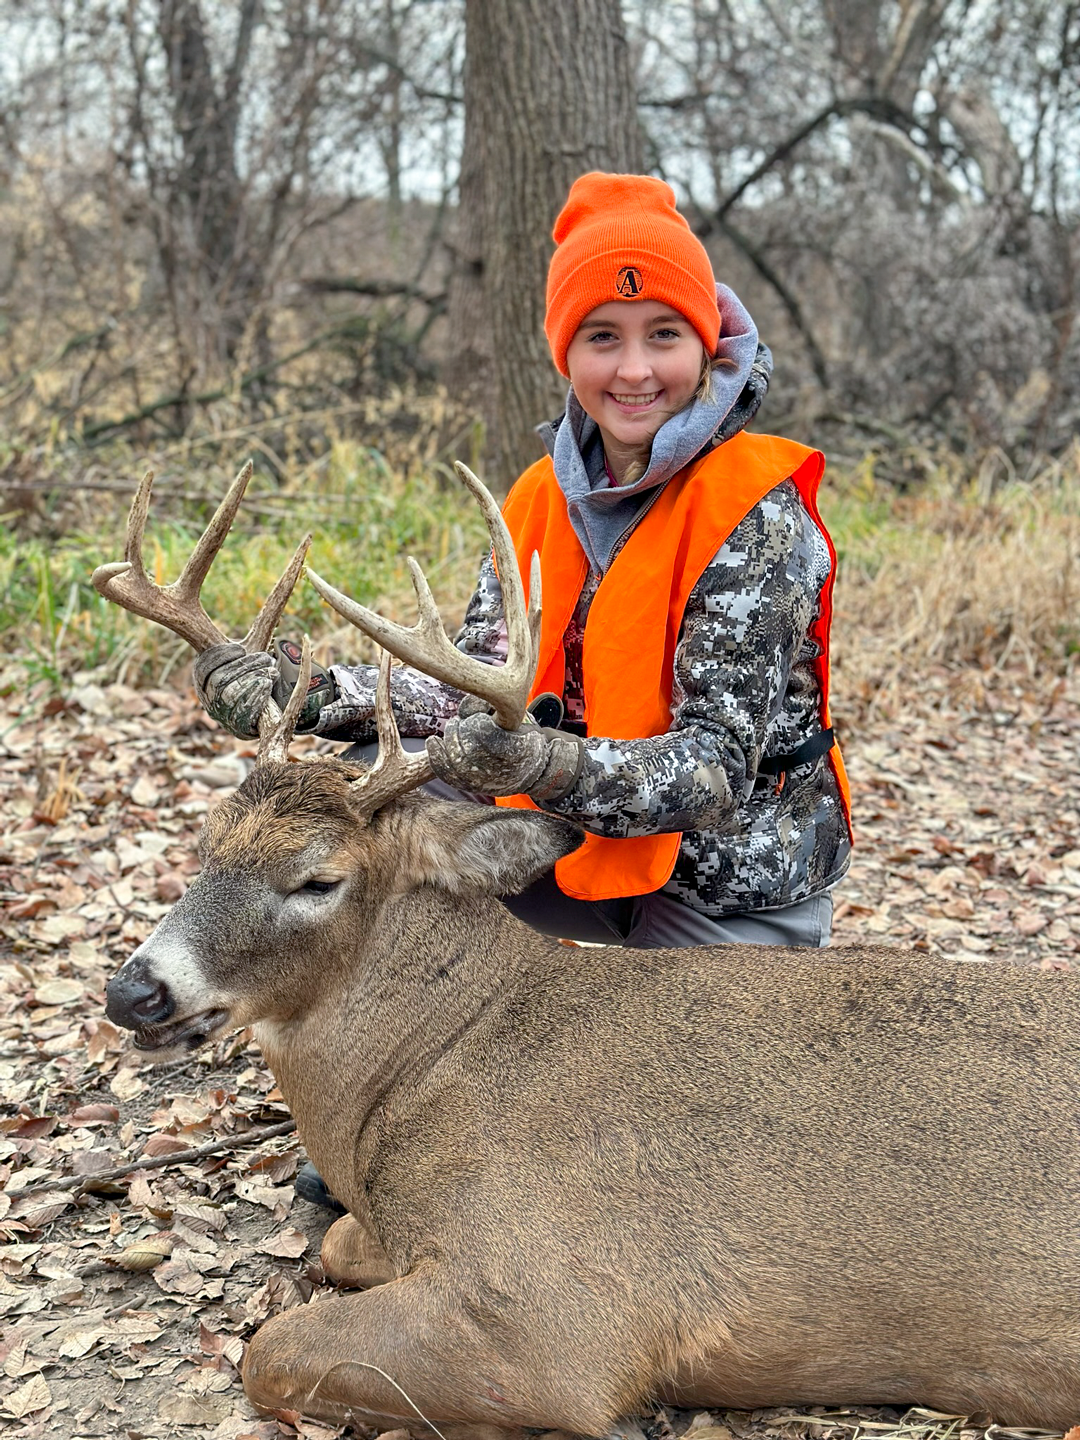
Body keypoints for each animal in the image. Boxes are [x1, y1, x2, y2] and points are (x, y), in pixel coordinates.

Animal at [96, 460, 1080, 1434]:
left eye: (318, 879)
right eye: (207, 839)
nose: (133, 992)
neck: (426, 1065)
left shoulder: (550, 1318)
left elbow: (268, 1352)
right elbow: (335, 1238)